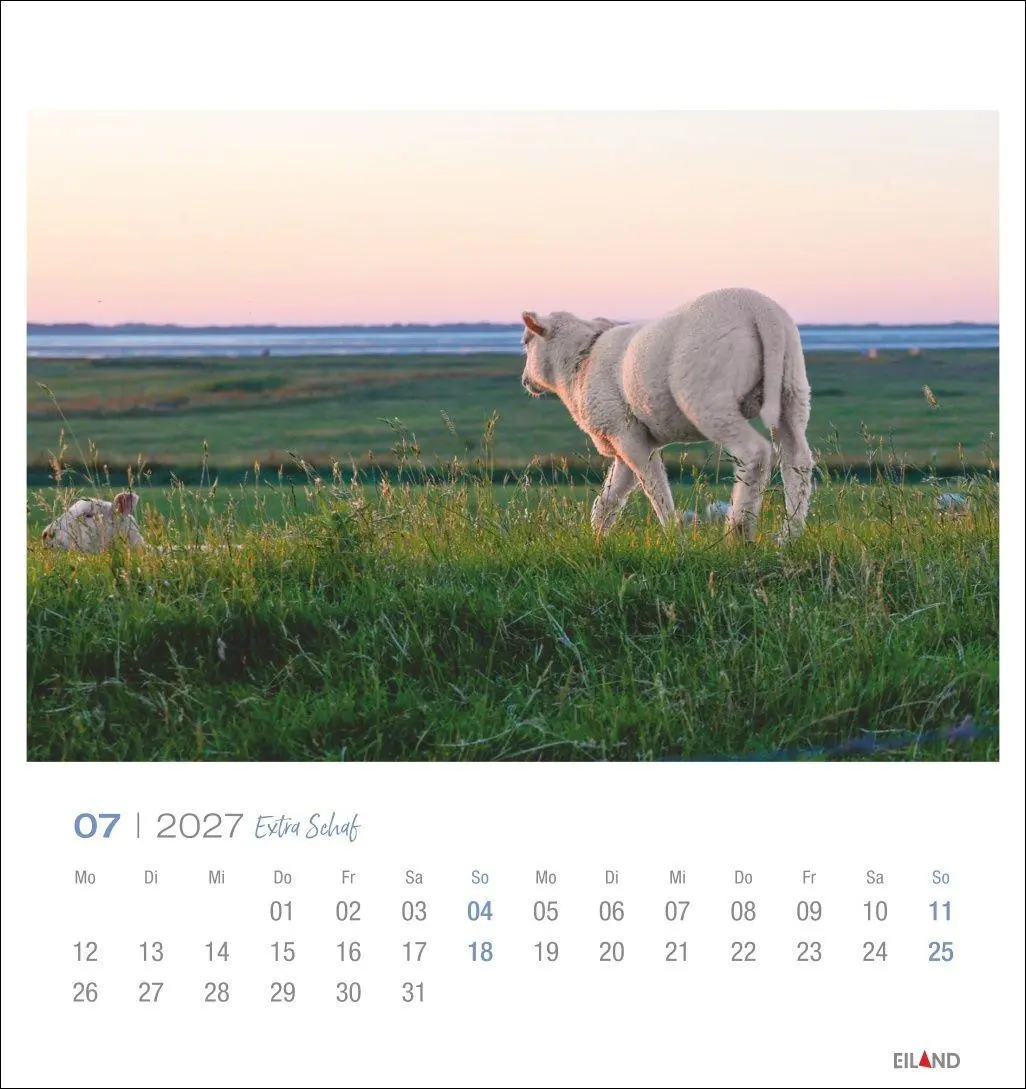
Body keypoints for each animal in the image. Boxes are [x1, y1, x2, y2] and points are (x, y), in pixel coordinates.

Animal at [520, 287, 814, 543]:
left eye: (525, 342)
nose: (525, 381)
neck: (580, 364)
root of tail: (760, 309)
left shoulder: (626, 434)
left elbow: (654, 487)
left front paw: (675, 536)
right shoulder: (625, 441)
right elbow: (610, 497)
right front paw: (597, 538)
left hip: (709, 397)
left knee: (754, 453)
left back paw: (738, 533)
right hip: (793, 388)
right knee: (797, 460)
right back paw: (789, 536)